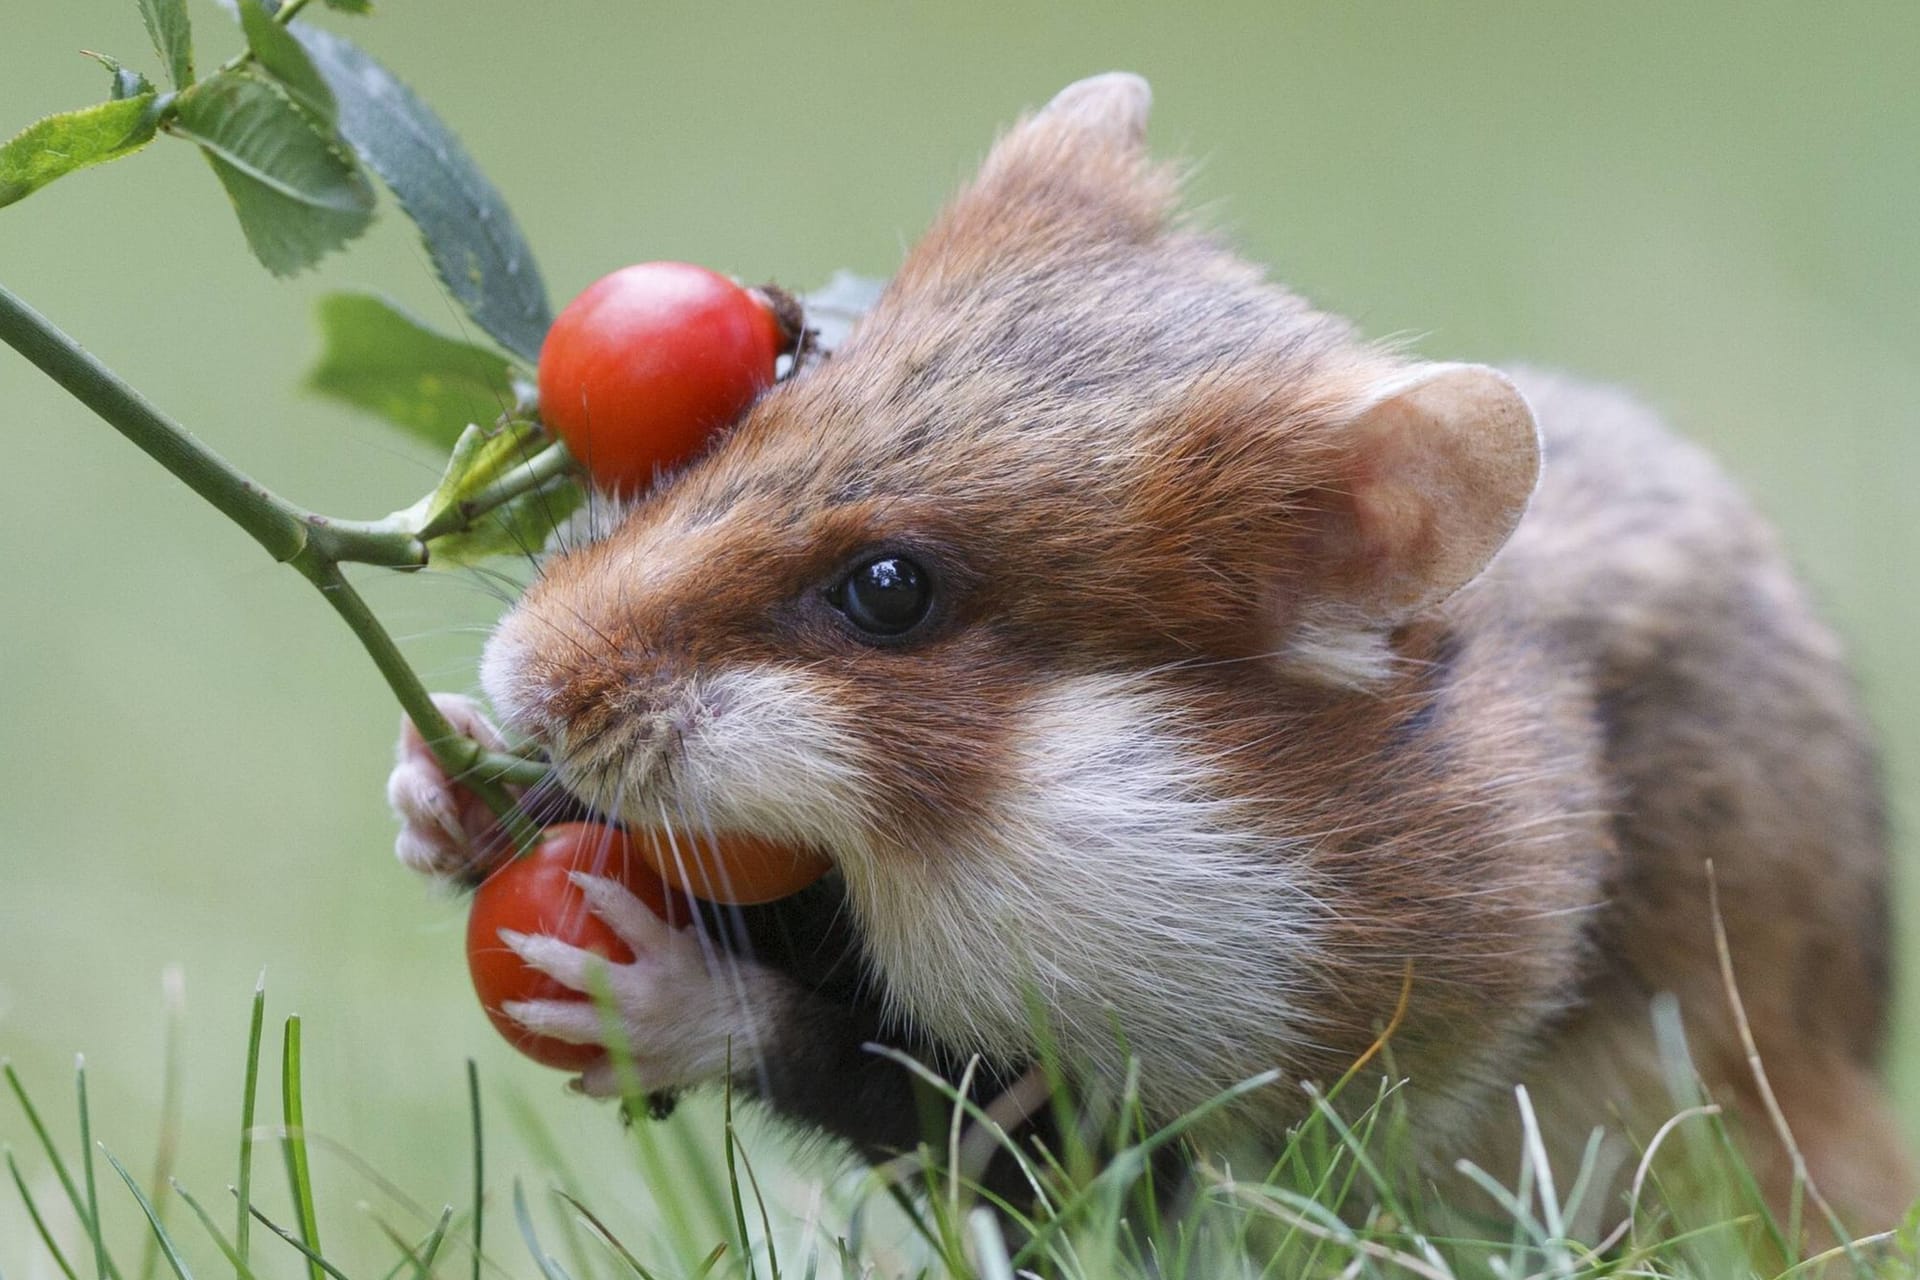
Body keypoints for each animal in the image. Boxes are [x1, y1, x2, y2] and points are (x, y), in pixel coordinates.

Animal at [385, 75, 1904, 1235]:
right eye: (754, 404)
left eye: (889, 592)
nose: (523, 675)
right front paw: (443, 784)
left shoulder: (1192, 1103)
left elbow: (883, 1077)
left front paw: (628, 981)